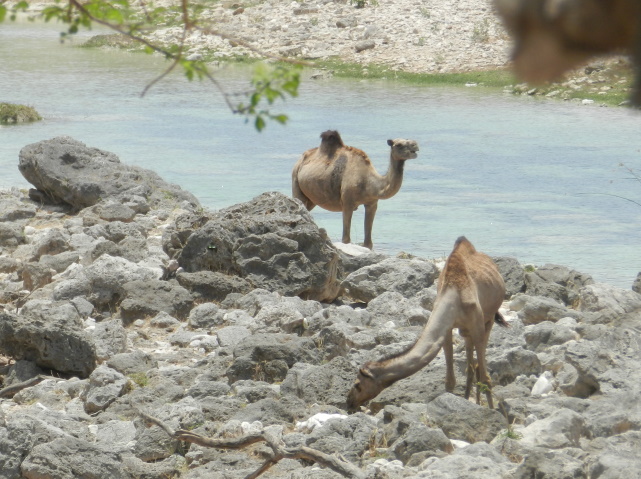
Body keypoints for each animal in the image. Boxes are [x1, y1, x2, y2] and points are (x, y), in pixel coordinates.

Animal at [346, 236, 507, 412]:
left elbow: (486, 378)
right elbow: (450, 380)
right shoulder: (447, 329)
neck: (454, 296)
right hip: (465, 331)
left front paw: (492, 411)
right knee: (471, 367)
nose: (349, 401)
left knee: (479, 364)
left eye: (358, 385)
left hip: (488, 319)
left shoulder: (477, 324)